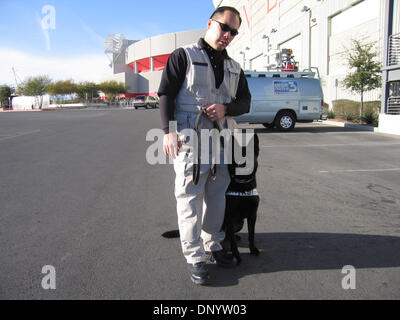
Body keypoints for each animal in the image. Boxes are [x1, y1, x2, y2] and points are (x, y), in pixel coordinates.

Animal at [162, 132, 260, 264]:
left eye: (248, 156)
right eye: (236, 157)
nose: (242, 164)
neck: (242, 185)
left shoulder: (252, 215)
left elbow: (251, 235)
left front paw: (253, 249)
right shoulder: (230, 218)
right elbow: (234, 244)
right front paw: (237, 257)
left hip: (240, 223)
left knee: (228, 236)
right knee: (221, 238)